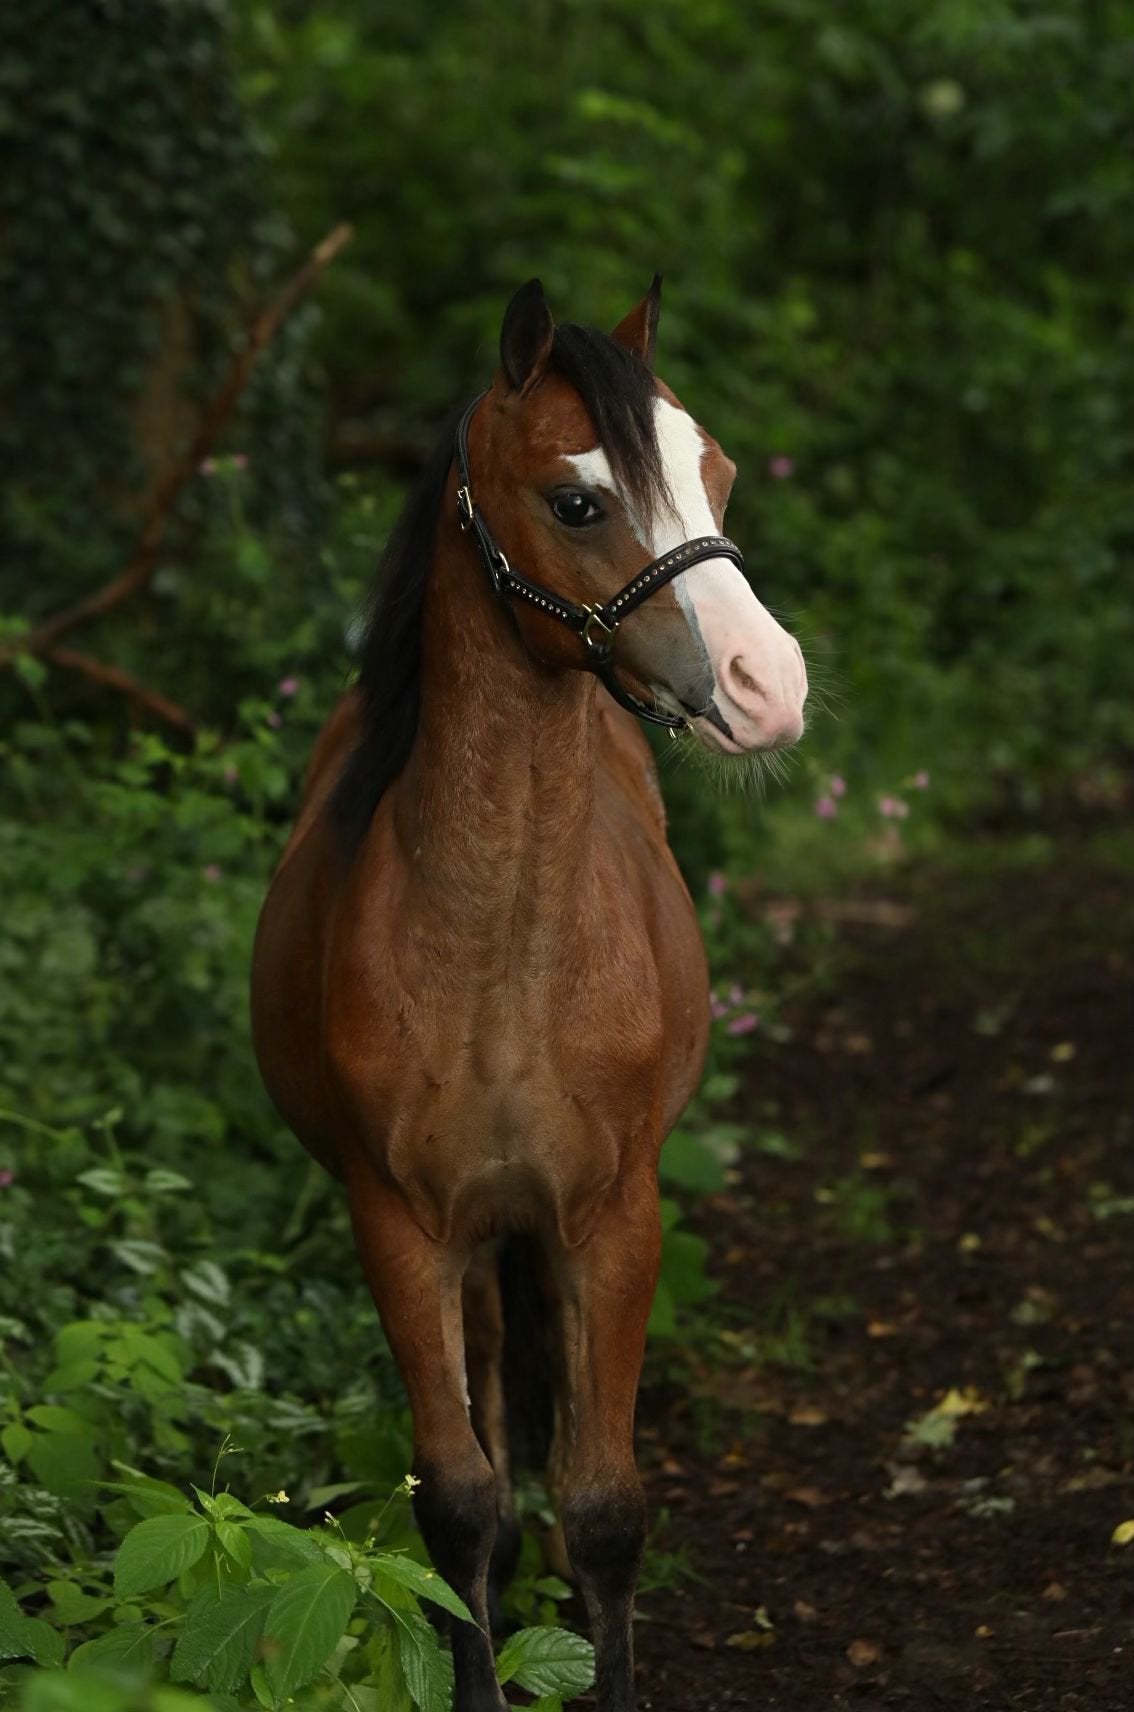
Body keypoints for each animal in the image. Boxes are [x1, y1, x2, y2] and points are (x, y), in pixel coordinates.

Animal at [251, 277, 808, 1712]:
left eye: (717, 473)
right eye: (577, 502)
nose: (768, 686)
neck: (503, 951)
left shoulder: (615, 1221)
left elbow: (605, 1504)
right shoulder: (400, 1227)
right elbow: (459, 1504)